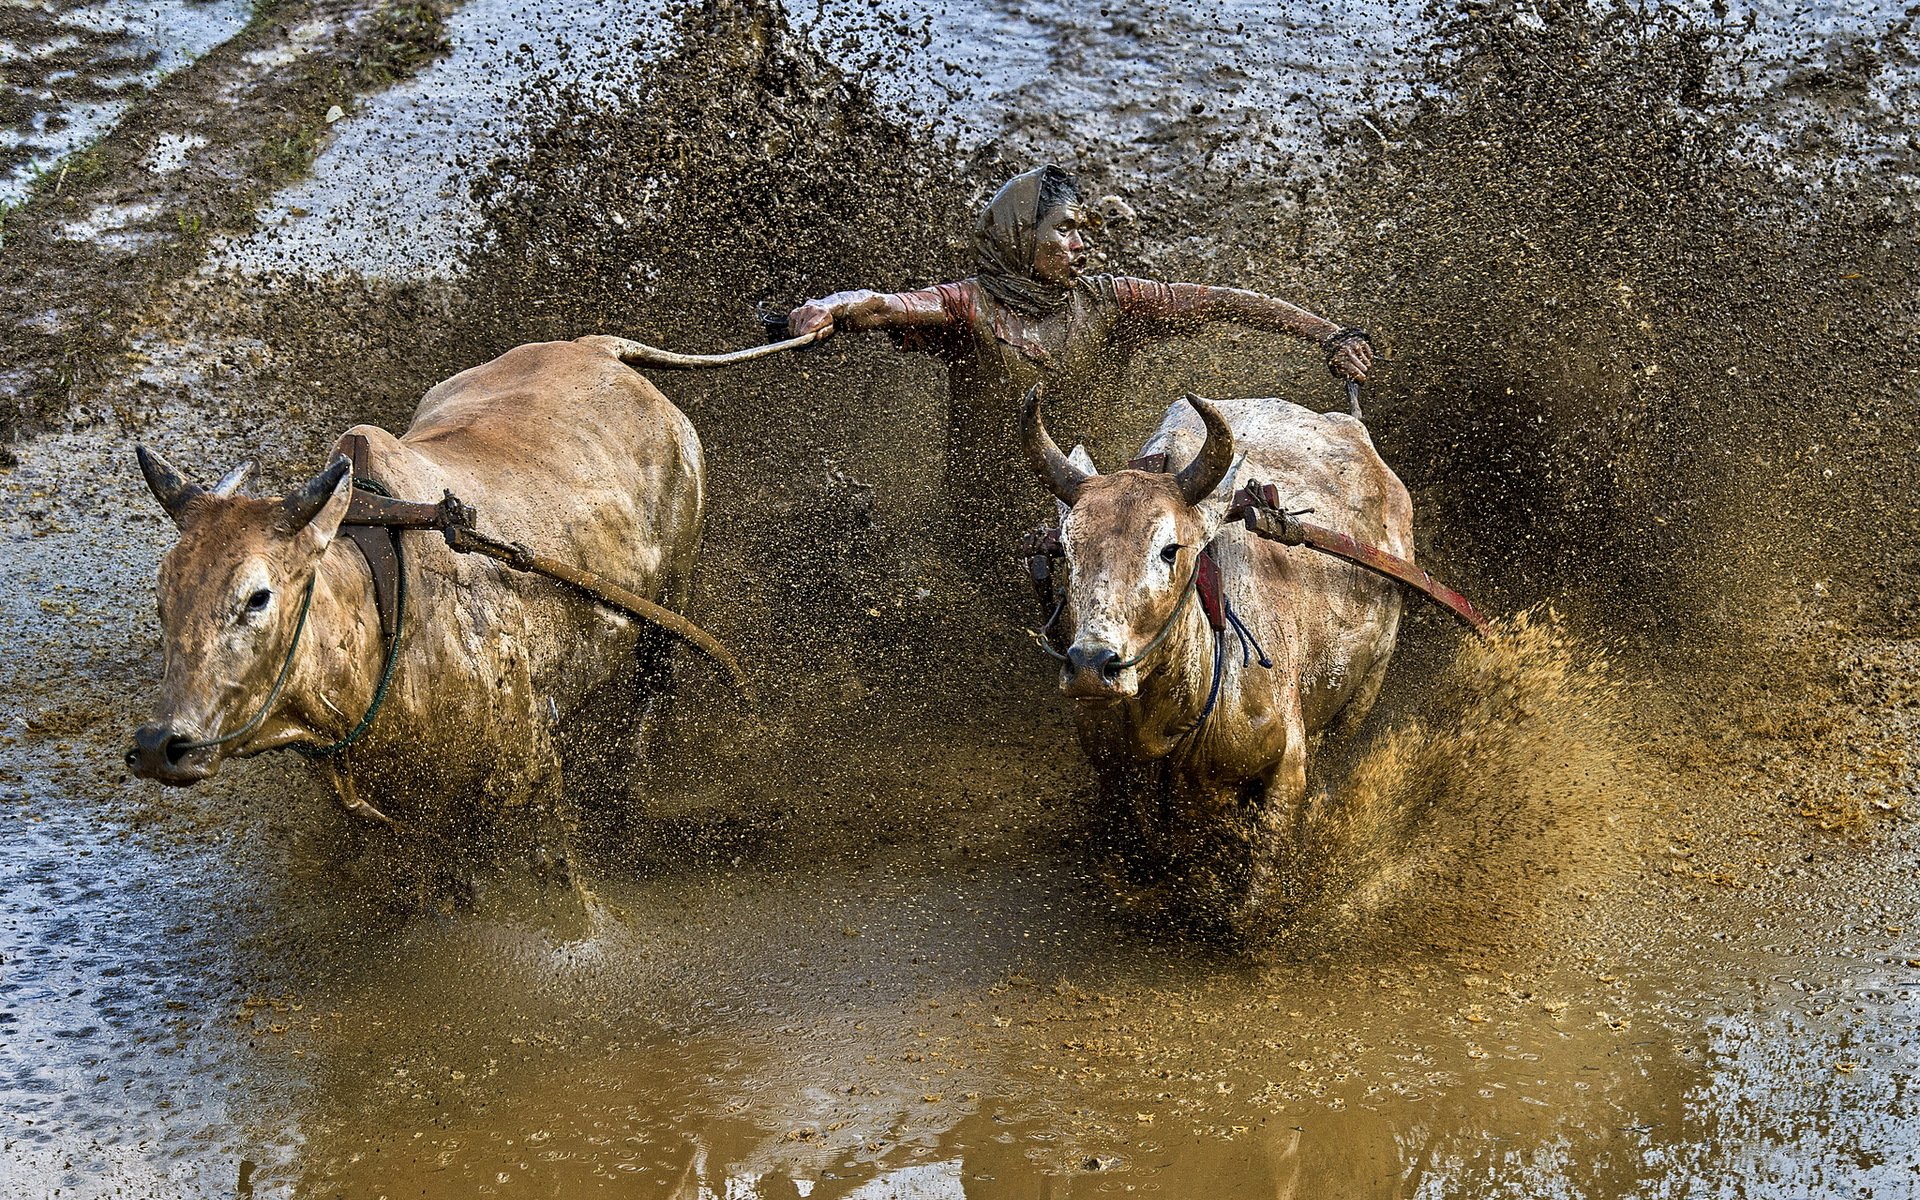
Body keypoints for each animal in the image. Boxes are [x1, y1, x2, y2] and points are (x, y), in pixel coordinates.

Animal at [125, 337, 725, 860]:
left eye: (257, 597)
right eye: (162, 596)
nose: (159, 745)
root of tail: (601, 349)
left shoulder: (527, 778)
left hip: (667, 608)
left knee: (650, 700)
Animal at [1021, 387, 1413, 940]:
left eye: (1169, 550)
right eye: (1068, 552)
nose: (1092, 665)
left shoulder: (1288, 765)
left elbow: (1249, 904)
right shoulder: (1111, 768)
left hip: (1366, 687)